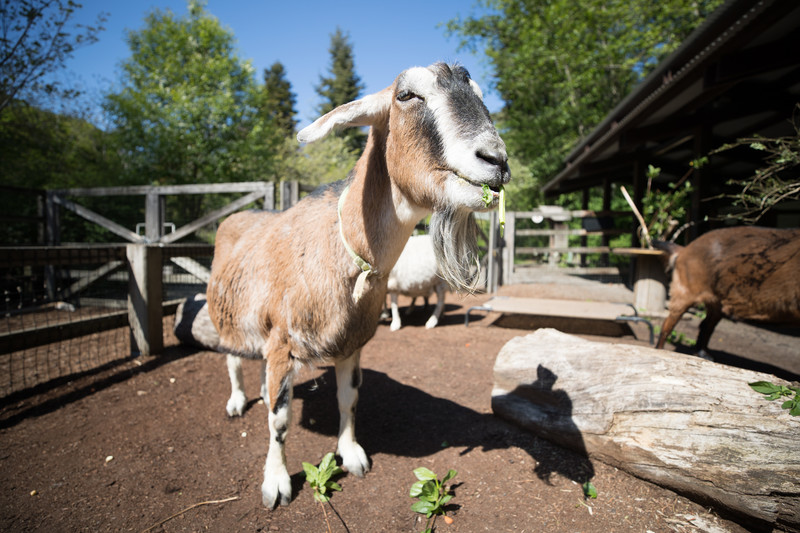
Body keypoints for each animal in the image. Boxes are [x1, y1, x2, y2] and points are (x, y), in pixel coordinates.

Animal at [205, 63, 509, 508]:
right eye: (406, 95)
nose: (496, 159)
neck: (340, 250)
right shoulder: (282, 341)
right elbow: (280, 419)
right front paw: (276, 482)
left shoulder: (351, 344)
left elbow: (348, 399)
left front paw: (351, 455)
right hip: (233, 318)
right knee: (231, 360)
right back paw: (236, 401)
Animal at [653, 226, 800, 356]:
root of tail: (686, 248)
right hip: (686, 292)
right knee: (667, 325)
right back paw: (661, 349)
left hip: (717, 302)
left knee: (706, 325)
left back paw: (702, 354)